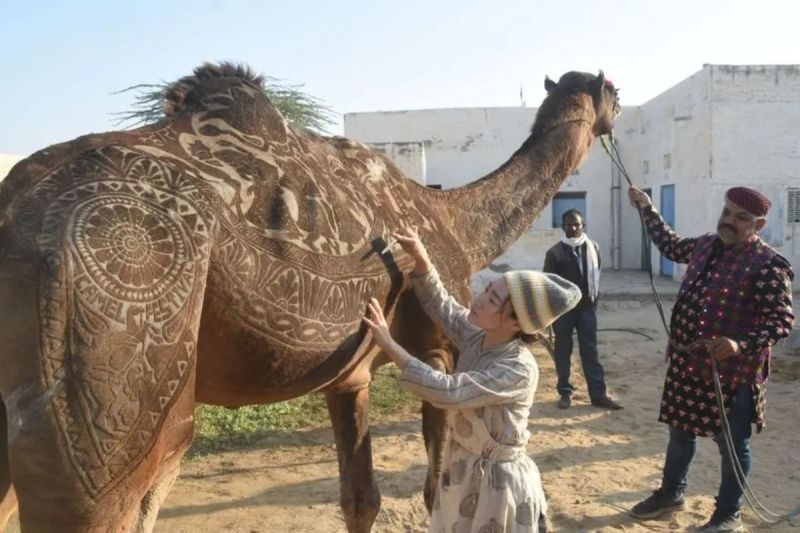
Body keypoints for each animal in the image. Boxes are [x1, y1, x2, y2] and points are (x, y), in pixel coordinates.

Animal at [0, 62, 620, 532]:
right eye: (611, 90)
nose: (614, 111)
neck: (453, 219)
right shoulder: (442, 349)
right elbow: (434, 491)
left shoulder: (349, 375)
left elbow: (361, 498)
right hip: (120, 367)